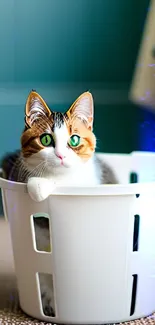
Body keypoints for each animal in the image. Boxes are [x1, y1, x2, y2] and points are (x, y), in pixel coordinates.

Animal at [1, 90, 117, 316]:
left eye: (74, 140)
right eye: (46, 139)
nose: (61, 155)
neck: (61, 179)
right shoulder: (17, 171)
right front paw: (38, 186)